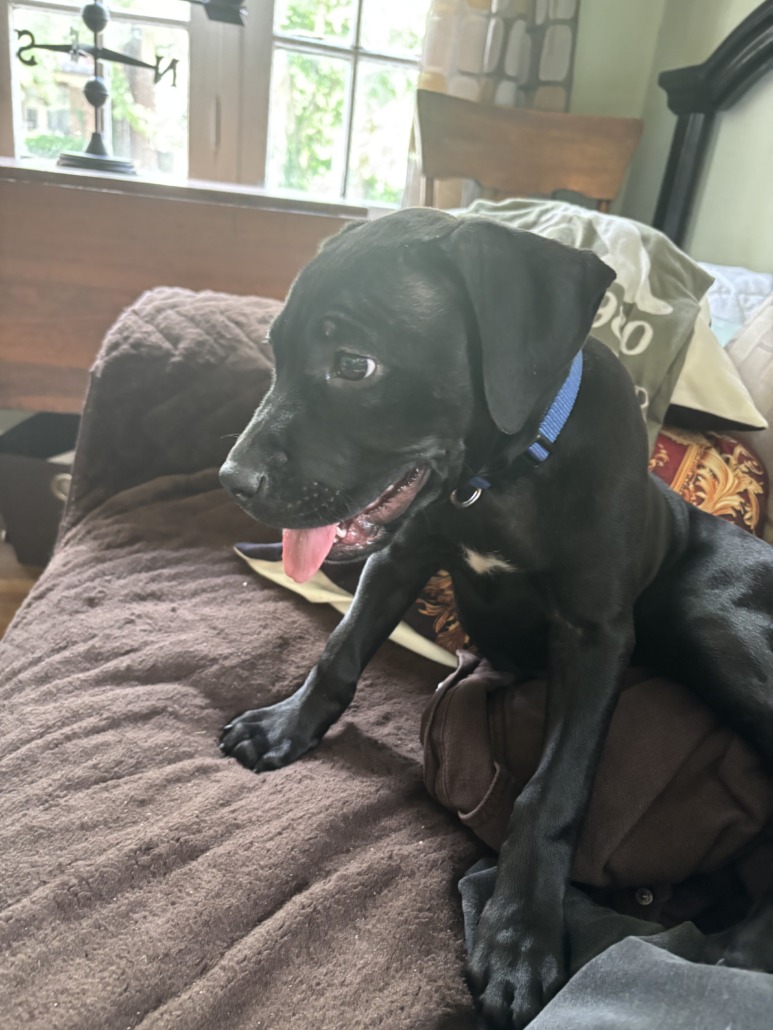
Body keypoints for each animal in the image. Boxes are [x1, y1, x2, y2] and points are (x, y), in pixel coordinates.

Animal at [219, 209, 773, 1029]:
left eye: (353, 364)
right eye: (274, 351)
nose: (233, 482)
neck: (501, 481)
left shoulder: (595, 636)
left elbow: (552, 791)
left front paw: (518, 938)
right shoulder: (402, 552)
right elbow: (340, 652)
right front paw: (285, 726)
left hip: (707, 615)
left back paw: (747, 943)